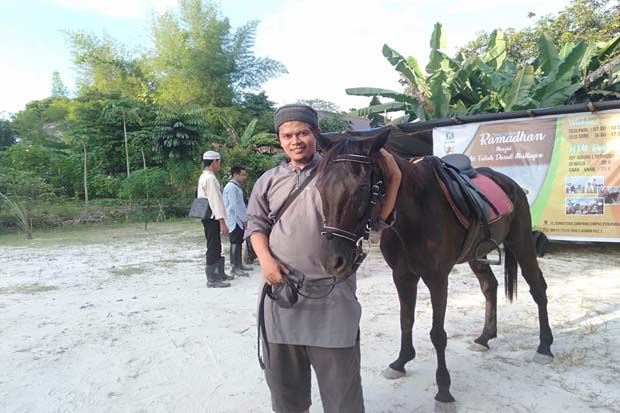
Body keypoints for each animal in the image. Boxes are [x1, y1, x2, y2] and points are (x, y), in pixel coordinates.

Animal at [314, 127, 552, 404]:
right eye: (319, 186)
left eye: (362, 186)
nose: (333, 261)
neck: (413, 214)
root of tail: (511, 184)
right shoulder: (402, 275)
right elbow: (405, 319)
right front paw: (401, 362)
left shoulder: (437, 279)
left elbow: (438, 334)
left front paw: (444, 389)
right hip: (477, 255)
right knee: (489, 286)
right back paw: (485, 337)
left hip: (522, 243)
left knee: (538, 287)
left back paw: (545, 346)